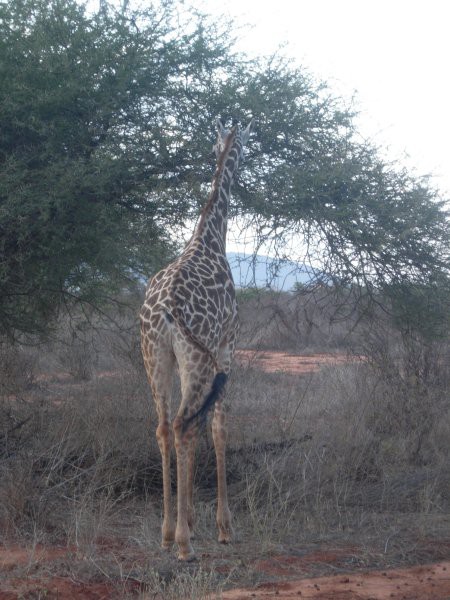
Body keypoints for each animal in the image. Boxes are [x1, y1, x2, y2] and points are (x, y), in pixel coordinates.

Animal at [140, 118, 253, 564]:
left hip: (155, 358)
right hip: (197, 358)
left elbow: (199, 425)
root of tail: (165, 310)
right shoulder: (228, 346)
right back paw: (184, 543)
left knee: (164, 426)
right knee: (183, 424)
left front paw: (188, 517)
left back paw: (167, 532)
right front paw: (223, 527)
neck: (209, 236)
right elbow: (219, 428)